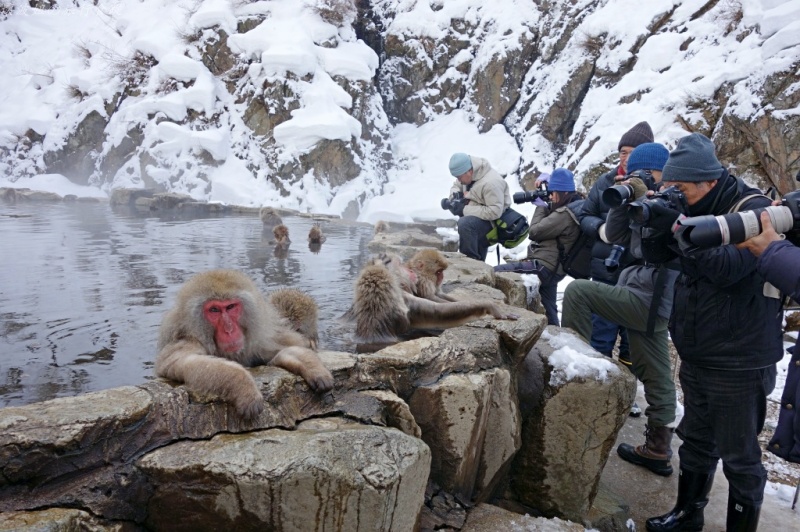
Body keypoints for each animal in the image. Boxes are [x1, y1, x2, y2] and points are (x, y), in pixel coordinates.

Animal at [155, 270, 333, 420]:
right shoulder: (188, 340)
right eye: (214, 310)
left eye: (230, 307)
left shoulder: (261, 340)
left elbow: (283, 351)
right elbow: (180, 361)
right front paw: (244, 386)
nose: (228, 329)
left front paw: (313, 368)